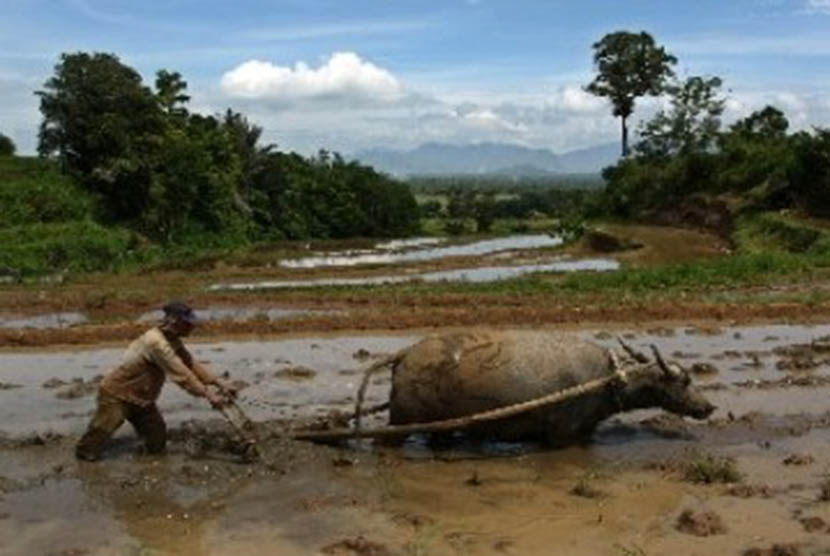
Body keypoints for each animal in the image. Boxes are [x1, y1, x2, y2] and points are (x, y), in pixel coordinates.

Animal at [360, 330, 720, 444]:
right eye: (684, 381)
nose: (708, 407)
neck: (607, 379)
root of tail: (405, 355)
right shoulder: (561, 433)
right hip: (402, 421)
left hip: (440, 427)